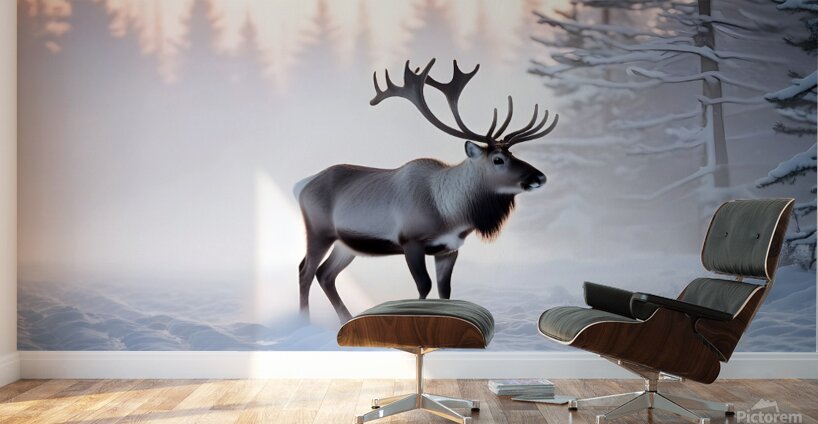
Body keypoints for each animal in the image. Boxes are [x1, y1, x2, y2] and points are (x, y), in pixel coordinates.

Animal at [294, 59, 558, 323]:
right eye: (498, 159)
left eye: (513, 154)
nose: (539, 177)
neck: (450, 213)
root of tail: (301, 185)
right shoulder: (410, 240)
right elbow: (424, 287)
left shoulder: (449, 248)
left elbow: (445, 291)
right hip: (319, 231)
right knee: (305, 270)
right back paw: (305, 322)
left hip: (346, 244)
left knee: (325, 274)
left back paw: (345, 319)